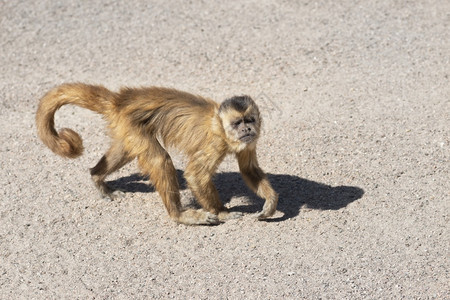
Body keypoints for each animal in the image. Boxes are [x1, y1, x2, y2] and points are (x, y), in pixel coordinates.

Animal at [35, 83, 278, 224]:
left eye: (250, 120)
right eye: (237, 123)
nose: (247, 130)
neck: (219, 125)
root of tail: (120, 99)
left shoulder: (249, 142)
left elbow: (248, 169)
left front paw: (270, 203)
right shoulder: (215, 142)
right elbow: (195, 175)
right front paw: (222, 212)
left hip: (126, 127)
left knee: (126, 150)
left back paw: (97, 177)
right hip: (131, 123)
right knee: (161, 160)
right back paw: (179, 216)